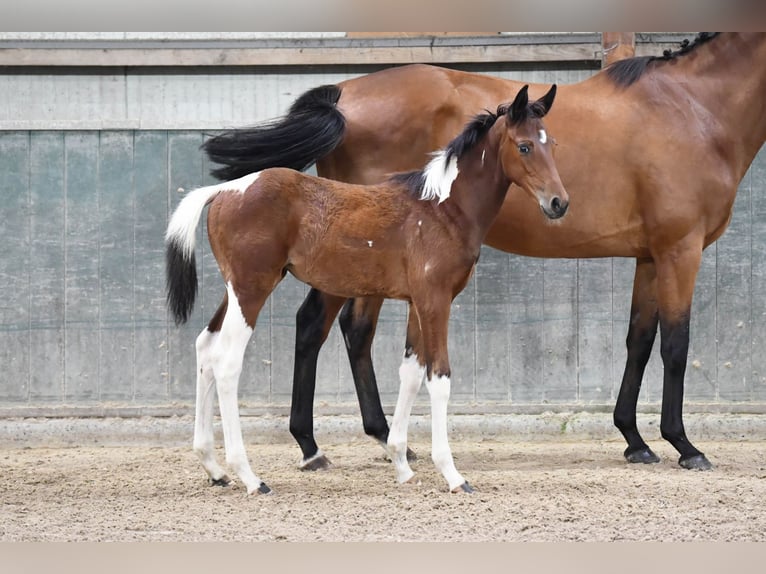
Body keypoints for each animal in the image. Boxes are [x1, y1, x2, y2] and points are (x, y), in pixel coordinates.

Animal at [166, 85, 566, 494]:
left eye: (551, 144)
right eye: (524, 146)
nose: (558, 203)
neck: (443, 208)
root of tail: (223, 190)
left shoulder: (416, 302)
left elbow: (410, 373)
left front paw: (402, 464)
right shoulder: (435, 300)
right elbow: (439, 377)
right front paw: (453, 475)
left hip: (237, 290)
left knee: (206, 346)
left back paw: (214, 468)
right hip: (251, 290)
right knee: (227, 362)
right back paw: (250, 477)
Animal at [204, 33, 766, 473]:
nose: (558, 202)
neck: (690, 106)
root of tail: (343, 96)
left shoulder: (650, 256)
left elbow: (640, 340)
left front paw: (634, 439)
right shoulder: (680, 250)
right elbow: (676, 344)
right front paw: (684, 444)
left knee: (348, 330)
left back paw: (376, 438)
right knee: (317, 325)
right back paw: (316, 445)